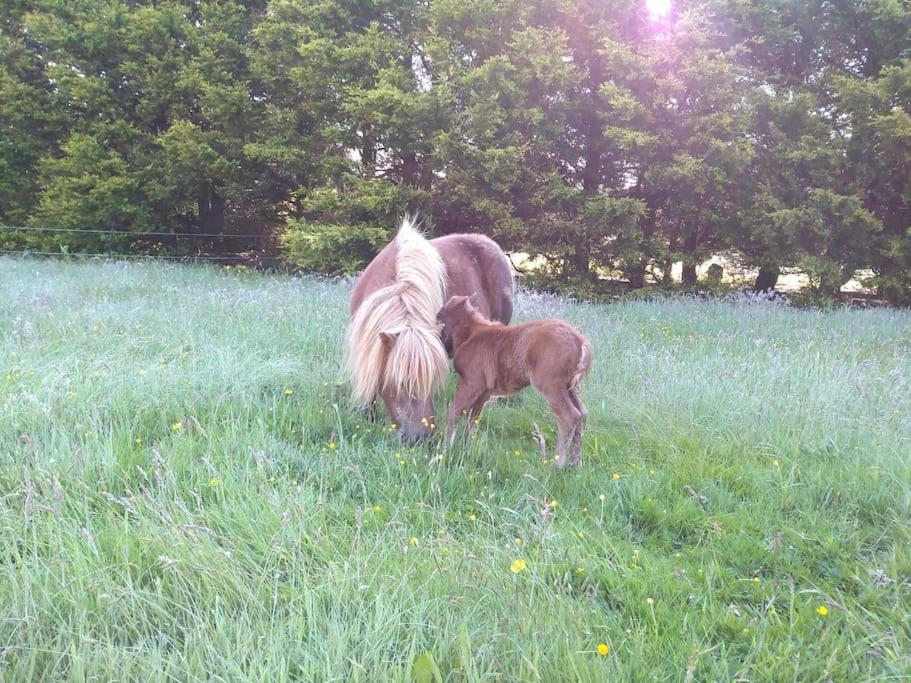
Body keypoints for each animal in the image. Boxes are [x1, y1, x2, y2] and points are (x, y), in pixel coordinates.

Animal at [438, 296, 596, 468]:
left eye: (440, 317)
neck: (471, 334)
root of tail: (581, 342)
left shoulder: (471, 381)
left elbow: (455, 411)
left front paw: (445, 449)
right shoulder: (485, 391)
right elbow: (473, 419)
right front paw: (466, 447)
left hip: (550, 384)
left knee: (570, 416)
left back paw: (556, 465)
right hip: (570, 386)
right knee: (582, 413)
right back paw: (575, 464)